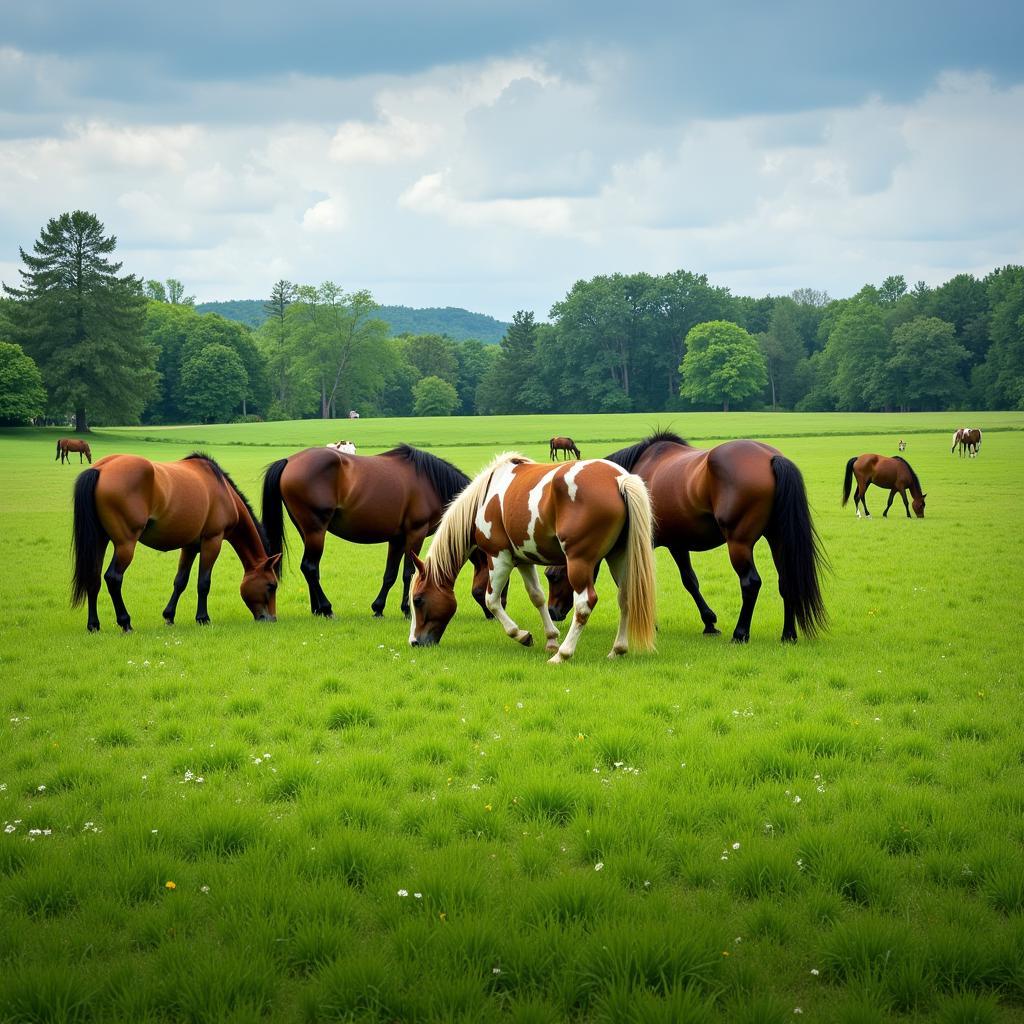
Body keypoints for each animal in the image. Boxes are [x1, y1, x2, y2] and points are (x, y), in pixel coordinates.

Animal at [71, 454, 280, 630]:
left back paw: (93, 625)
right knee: (113, 578)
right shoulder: (212, 541)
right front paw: (203, 618)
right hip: (125, 544)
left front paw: (169, 616)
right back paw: (125, 622)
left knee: (93, 577)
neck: (224, 492)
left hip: (100, 540)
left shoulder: (190, 546)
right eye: (271, 585)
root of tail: (100, 469)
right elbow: (203, 582)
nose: (271, 618)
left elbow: (180, 581)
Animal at [262, 444, 497, 618]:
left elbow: (390, 575)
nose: (493, 613)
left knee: (312, 569)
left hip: (308, 532)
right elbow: (409, 573)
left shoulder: (397, 539)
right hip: (315, 530)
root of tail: (289, 461)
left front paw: (378, 608)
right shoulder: (415, 534)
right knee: (309, 567)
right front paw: (407, 610)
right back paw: (327, 609)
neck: (431, 483)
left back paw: (317, 609)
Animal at [407, 450, 655, 663]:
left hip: (579, 562)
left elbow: (492, 601)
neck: (485, 498)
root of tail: (618, 479)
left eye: (418, 600)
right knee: (625, 597)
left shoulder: (499, 557)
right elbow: (537, 597)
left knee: (585, 603)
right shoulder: (523, 560)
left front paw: (522, 635)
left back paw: (563, 654)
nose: (414, 642)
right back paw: (617, 649)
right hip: (618, 557)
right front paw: (551, 639)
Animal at [548, 430, 827, 638]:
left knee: (750, 583)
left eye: (553, 575)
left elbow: (635, 580)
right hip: (778, 539)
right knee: (786, 580)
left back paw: (740, 633)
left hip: (739, 543)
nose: (552, 611)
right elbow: (690, 581)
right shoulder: (678, 544)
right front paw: (709, 622)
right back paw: (788, 634)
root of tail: (771, 458)